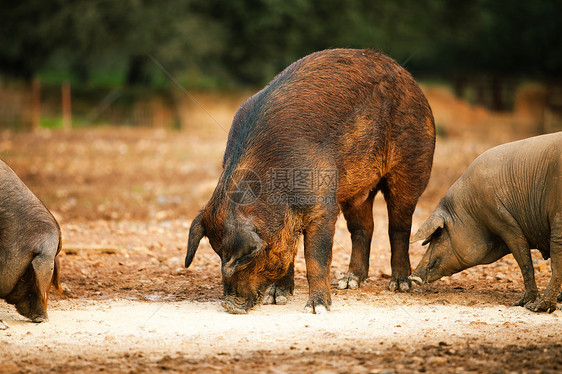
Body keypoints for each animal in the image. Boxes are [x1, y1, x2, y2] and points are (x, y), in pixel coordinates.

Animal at [186, 48, 436, 314]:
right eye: (218, 253)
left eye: (247, 257)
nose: (229, 305)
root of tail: (411, 81)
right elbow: (289, 250)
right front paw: (276, 299)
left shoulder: (322, 206)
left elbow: (316, 257)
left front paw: (317, 309)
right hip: (355, 191)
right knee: (363, 228)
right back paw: (349, 282)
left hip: (412, 167)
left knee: (399, 227)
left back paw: (400, 285)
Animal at [406, 131, 560, 312]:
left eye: (438, 235)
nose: (412, 276)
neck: (469, 209)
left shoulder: (501, 219)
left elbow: (524, 261)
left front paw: (520, 303)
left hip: (557, 218)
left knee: (557, 263)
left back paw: (537, 307)